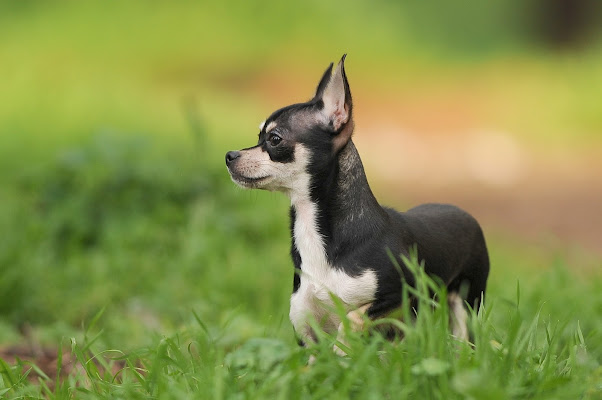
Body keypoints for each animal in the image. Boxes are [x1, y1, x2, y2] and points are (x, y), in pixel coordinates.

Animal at [225, 54, 488, 352]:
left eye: (274, 139)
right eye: (258, 136)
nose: (229, 155)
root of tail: (462, 211)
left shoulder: (398, 295)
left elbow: (353, 317)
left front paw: (344, 346)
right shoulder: (304, 320)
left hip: (466, 302)